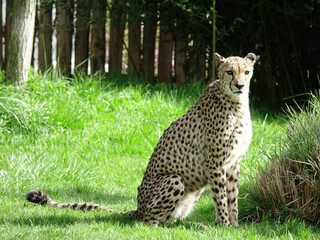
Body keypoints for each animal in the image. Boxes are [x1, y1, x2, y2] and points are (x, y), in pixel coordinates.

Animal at [26, 52, 258, 227]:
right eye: (229, 72)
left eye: (246, 72)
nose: (240, 85)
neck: (235, 103)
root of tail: (138, 208)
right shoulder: (215, 164)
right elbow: (221, 198)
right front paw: (224, 225)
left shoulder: (233, 163)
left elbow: (233, 197)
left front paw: (234, 226)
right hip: (175, 180)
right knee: (150, 222)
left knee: (170, 221)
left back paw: (196, 225)